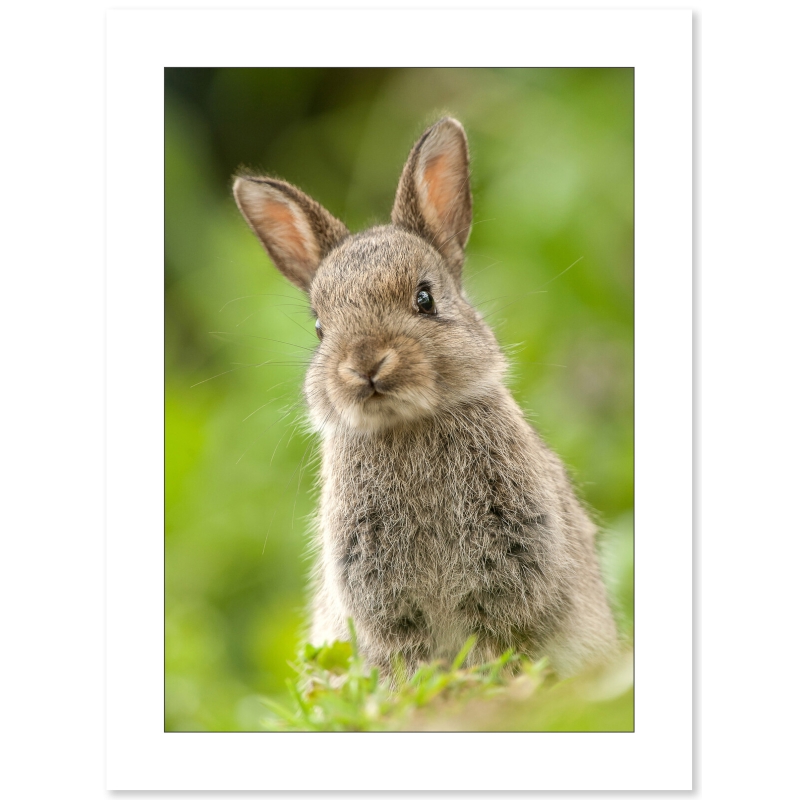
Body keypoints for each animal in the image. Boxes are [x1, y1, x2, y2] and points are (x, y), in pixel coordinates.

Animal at [232, 117, 619, 679]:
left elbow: (491, 643)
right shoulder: (383, 602)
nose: (366, 364)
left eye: (425, 298)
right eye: (320, 327)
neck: (407, 425)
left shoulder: (509, 570)